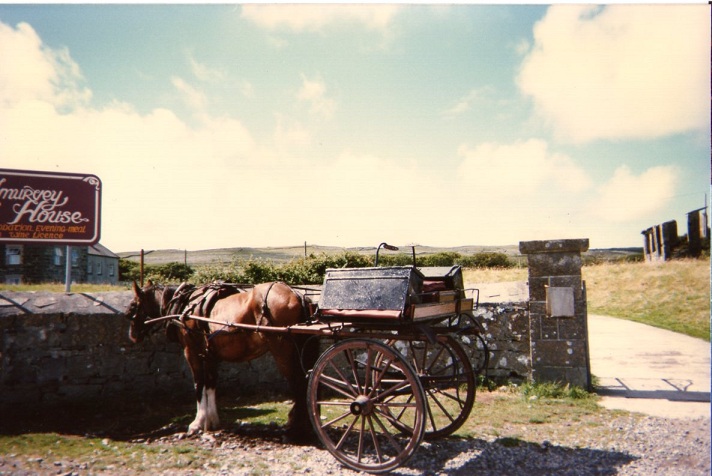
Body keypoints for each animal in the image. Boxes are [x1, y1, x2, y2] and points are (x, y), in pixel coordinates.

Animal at [126, 278, 318, 442]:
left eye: (133, 306)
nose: (132, 335)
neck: (186, 306)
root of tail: (296, 295)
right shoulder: (210, 355)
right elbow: (211, 384)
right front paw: (211, 421)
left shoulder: (192, 352)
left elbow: (199, 384)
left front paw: (197, 423)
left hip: (282, 351)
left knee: (299, 384)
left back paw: (296, 428)